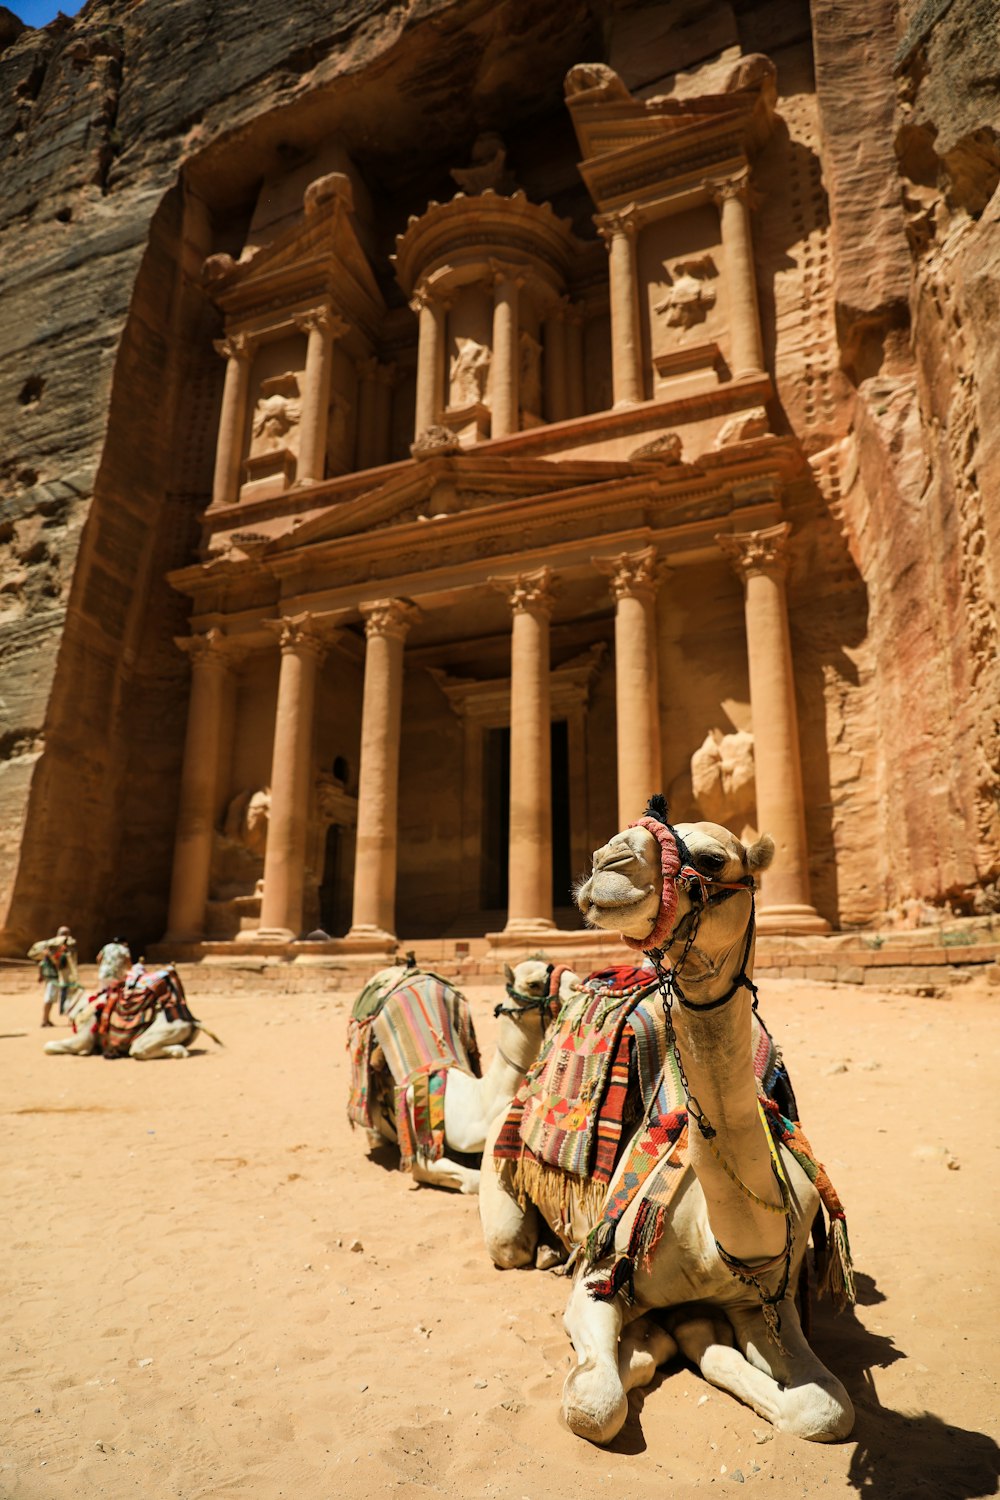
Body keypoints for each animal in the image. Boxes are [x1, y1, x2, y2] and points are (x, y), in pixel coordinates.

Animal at [479, 804, 857, 1446]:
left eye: (711, 858)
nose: (608, 861)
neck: (715, 1239)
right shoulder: (600, 1279)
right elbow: (594, 1403)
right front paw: (647, 1344)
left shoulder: (766, 1299)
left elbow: (827, 1411)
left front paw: (689, 1337)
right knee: (509, 1243)